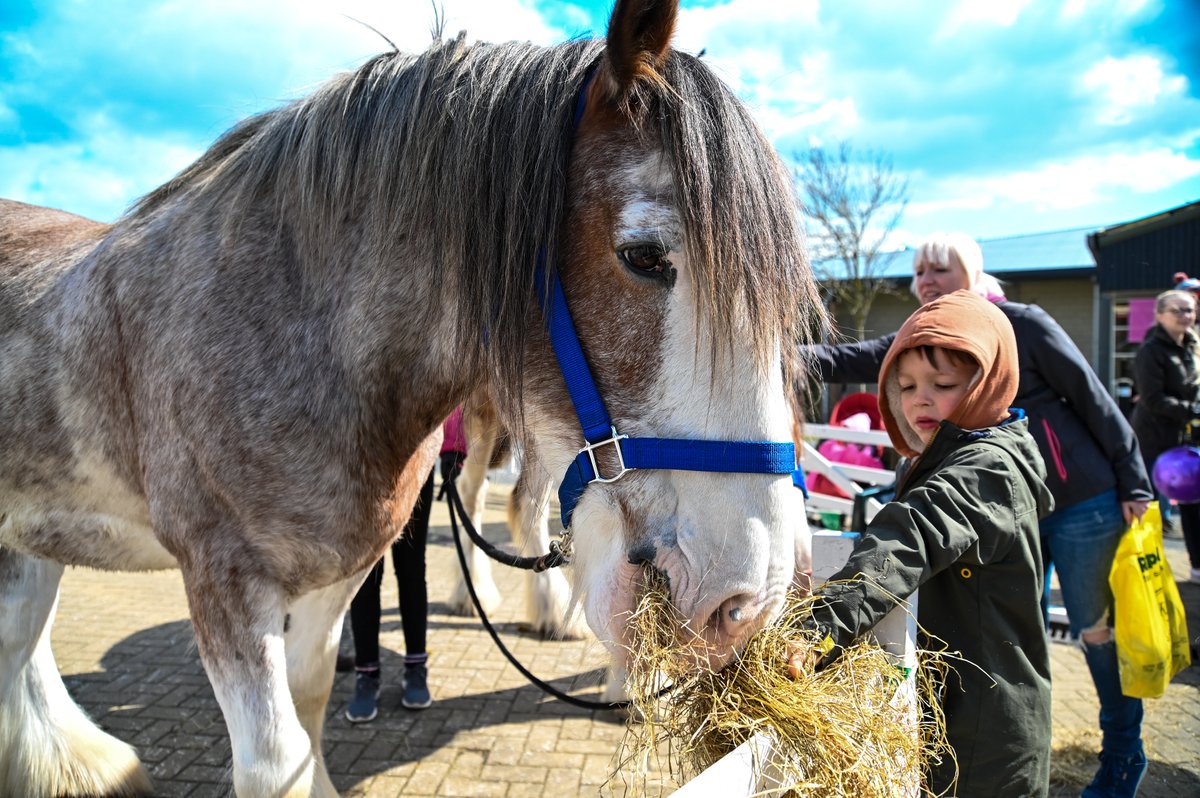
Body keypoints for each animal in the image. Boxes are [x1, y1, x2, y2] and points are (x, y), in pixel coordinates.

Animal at [0, 0, 823, 795]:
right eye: (644, 256)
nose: (748, 601)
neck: (285, 326)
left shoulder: (339, 570)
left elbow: (308, 708)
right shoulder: (222, 581)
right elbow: (273, 759)